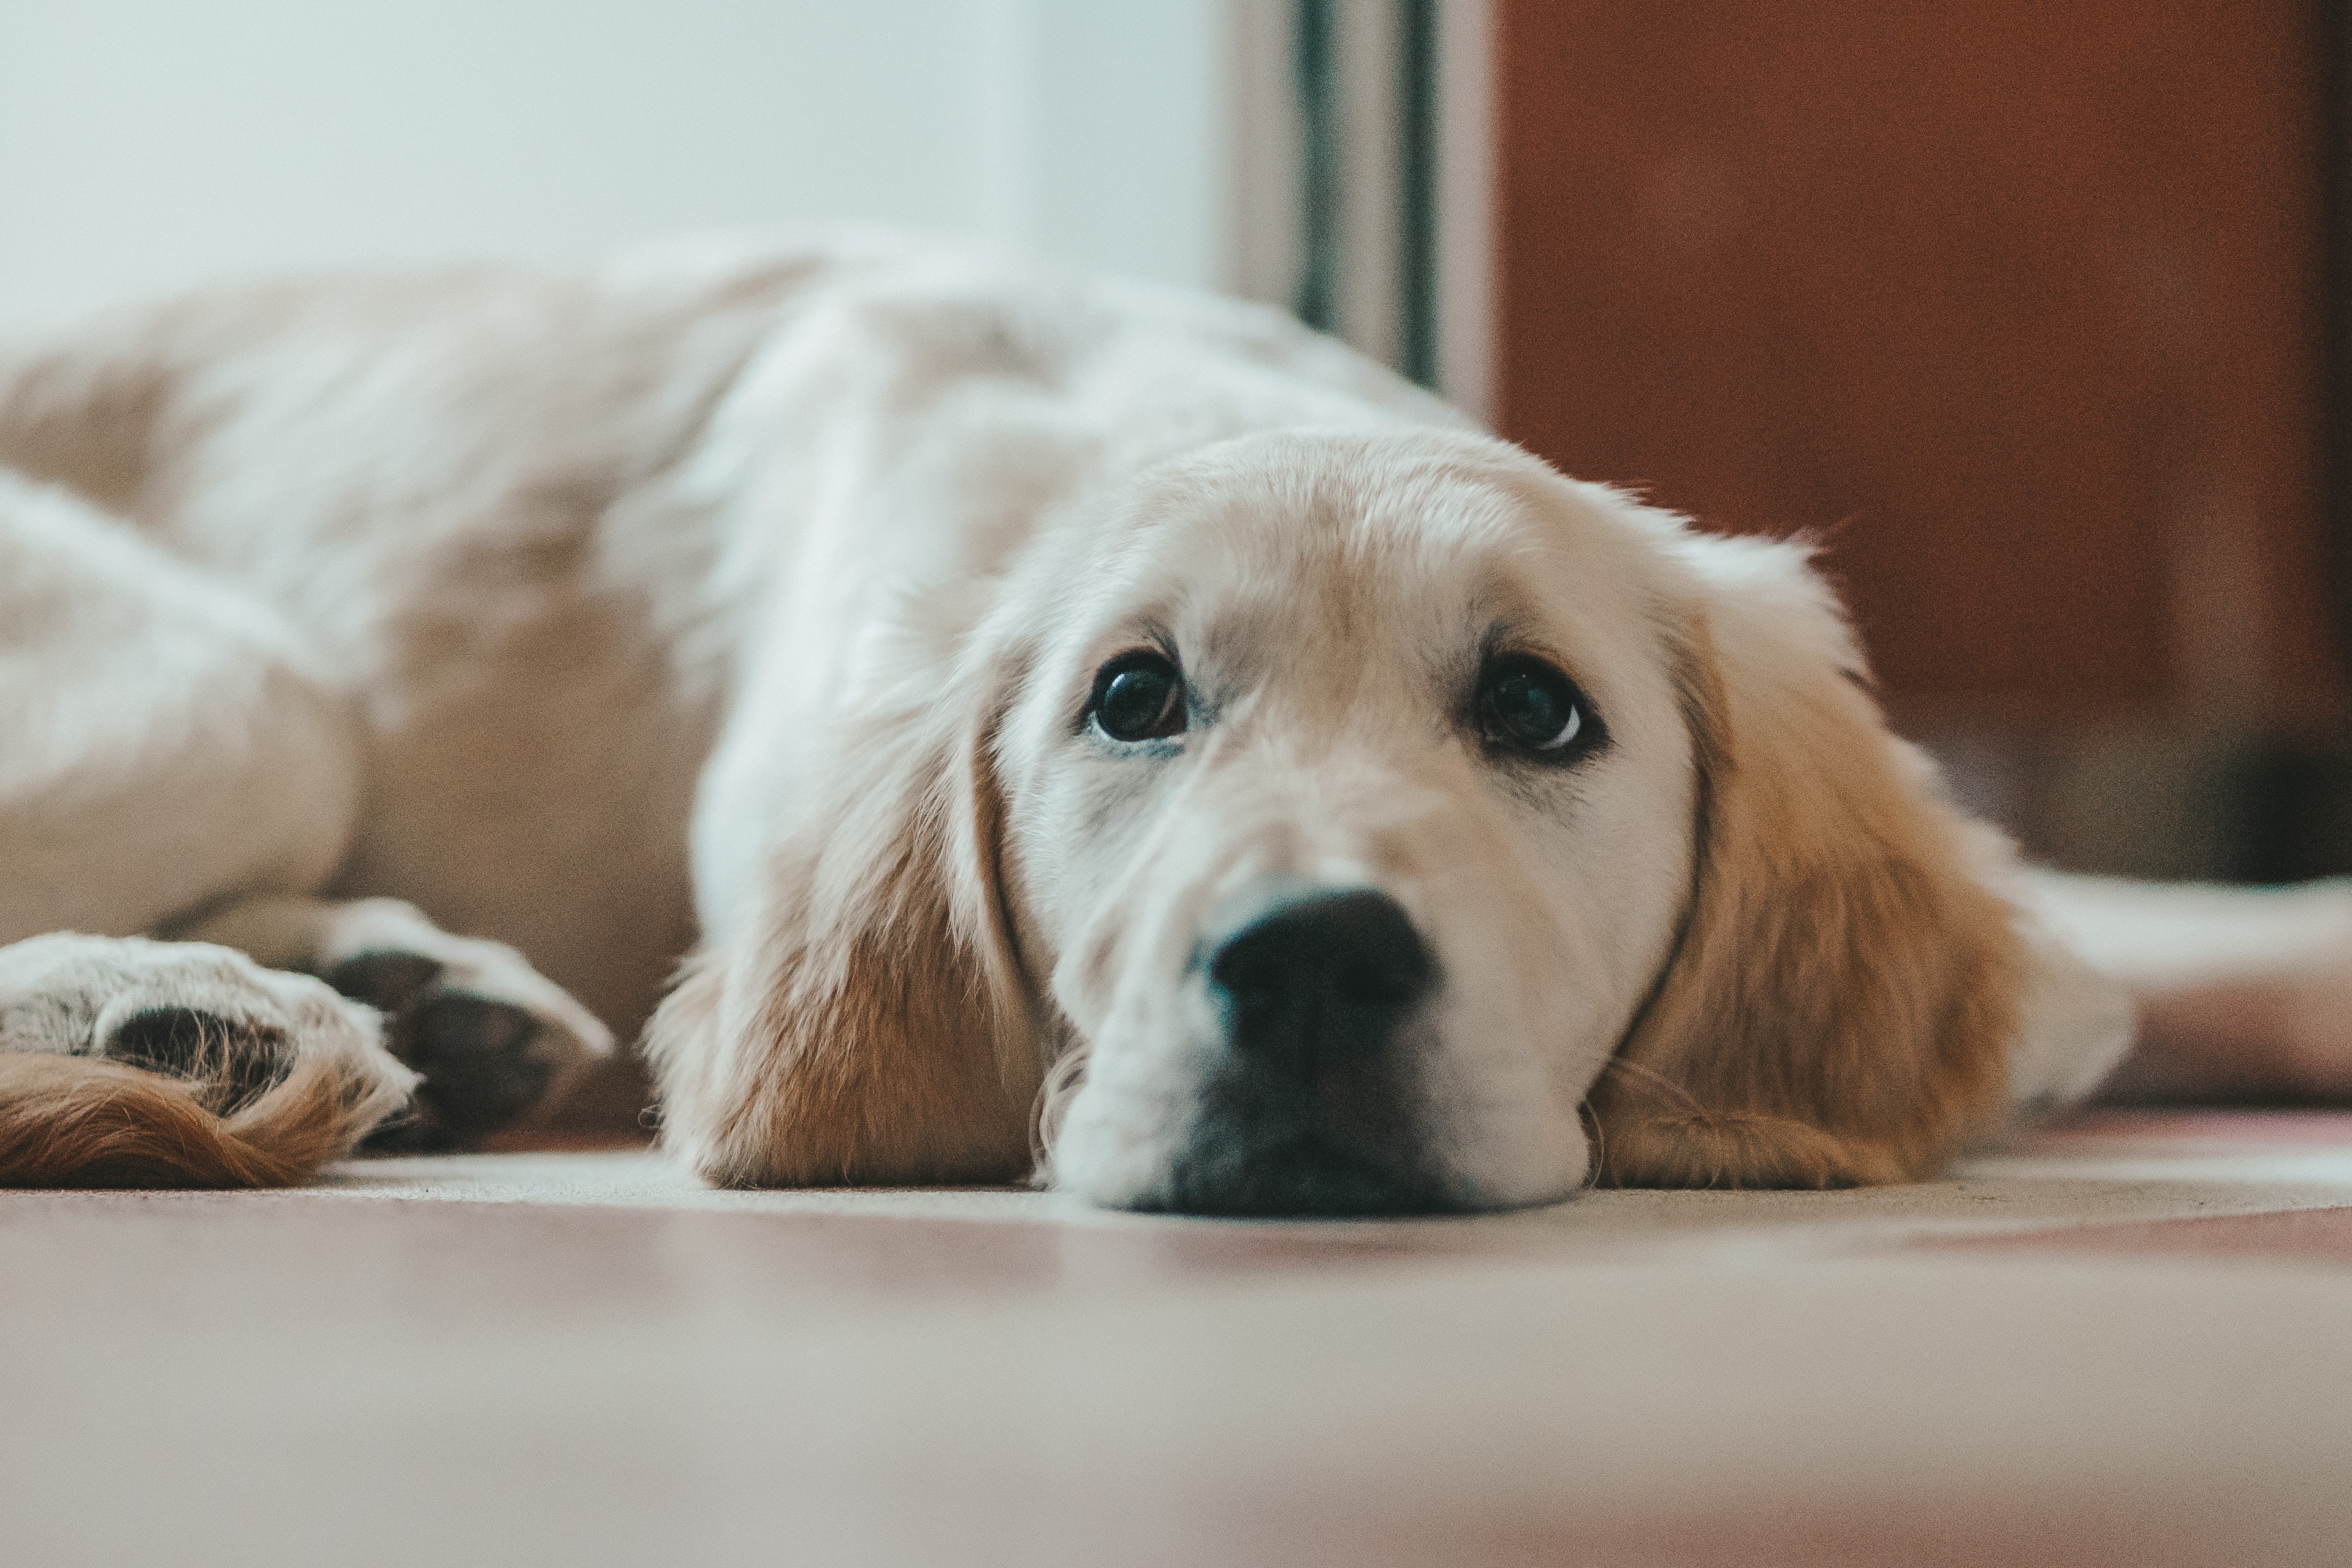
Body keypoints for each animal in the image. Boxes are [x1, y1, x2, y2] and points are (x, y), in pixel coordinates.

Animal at [0, 232, 2342, 1212]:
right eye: (1128, 700)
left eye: (1533, 708)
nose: (1303, 968)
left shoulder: (2049, 946)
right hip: (233, 689)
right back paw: (187, 1015)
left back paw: (395, 996)